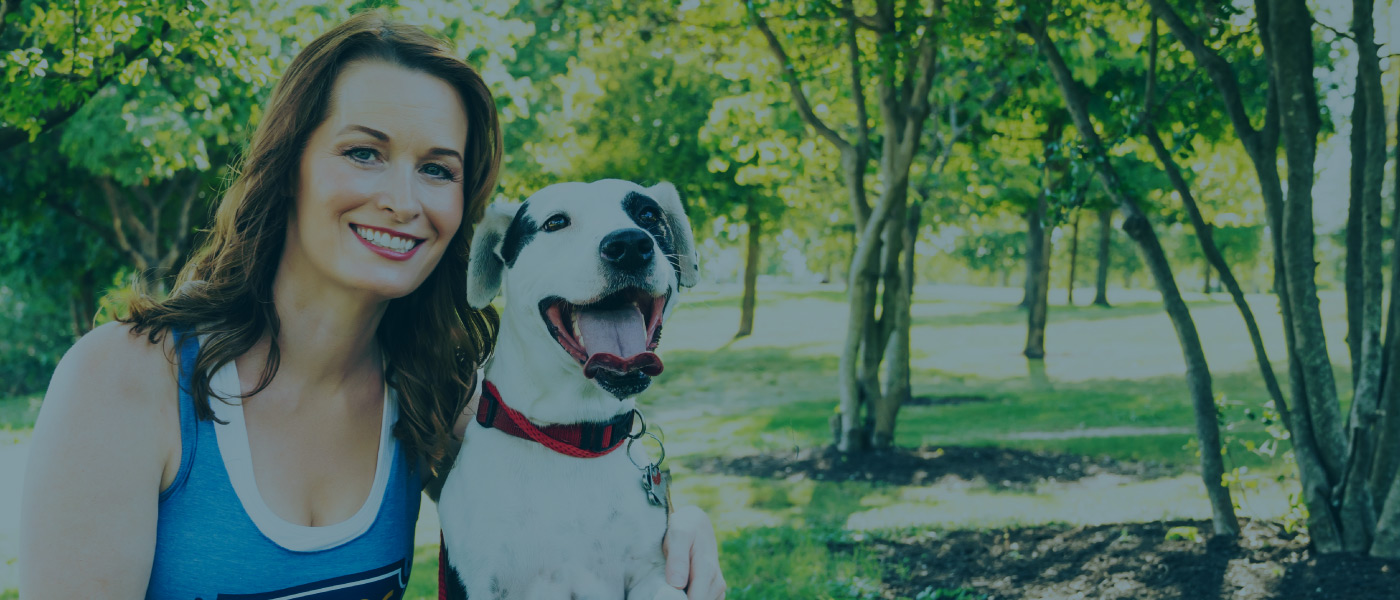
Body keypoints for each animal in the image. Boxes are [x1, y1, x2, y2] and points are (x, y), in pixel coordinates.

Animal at [439, 179, 697, 598]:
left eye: (648, 215)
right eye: (556, 222)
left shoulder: (652, 572)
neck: (572, 436)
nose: (629, 244)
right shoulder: (478, 584)